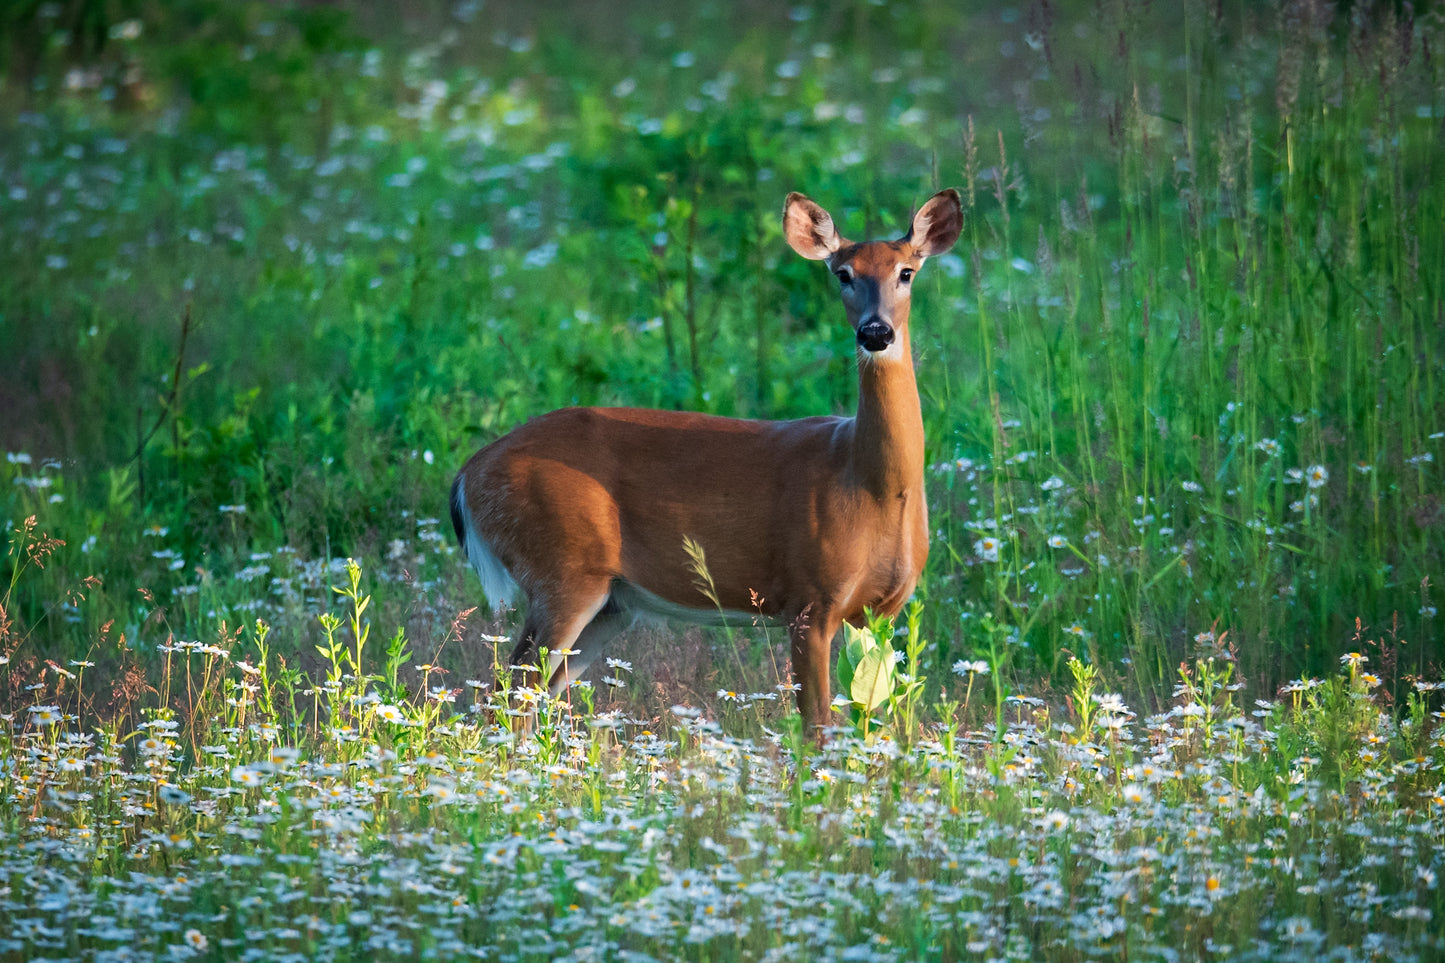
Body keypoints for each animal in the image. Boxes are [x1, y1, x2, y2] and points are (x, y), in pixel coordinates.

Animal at [450, 187, 965, 734]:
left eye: (907, 271)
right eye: (843, 273)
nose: (875, 332)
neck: (868, 483)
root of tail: (468, 473)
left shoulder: (883, 610)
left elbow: (871, 719)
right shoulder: (808, 599)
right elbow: (816, 727)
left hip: (611, 602)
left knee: (528, 699)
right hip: (563, 570)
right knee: (507, 697)